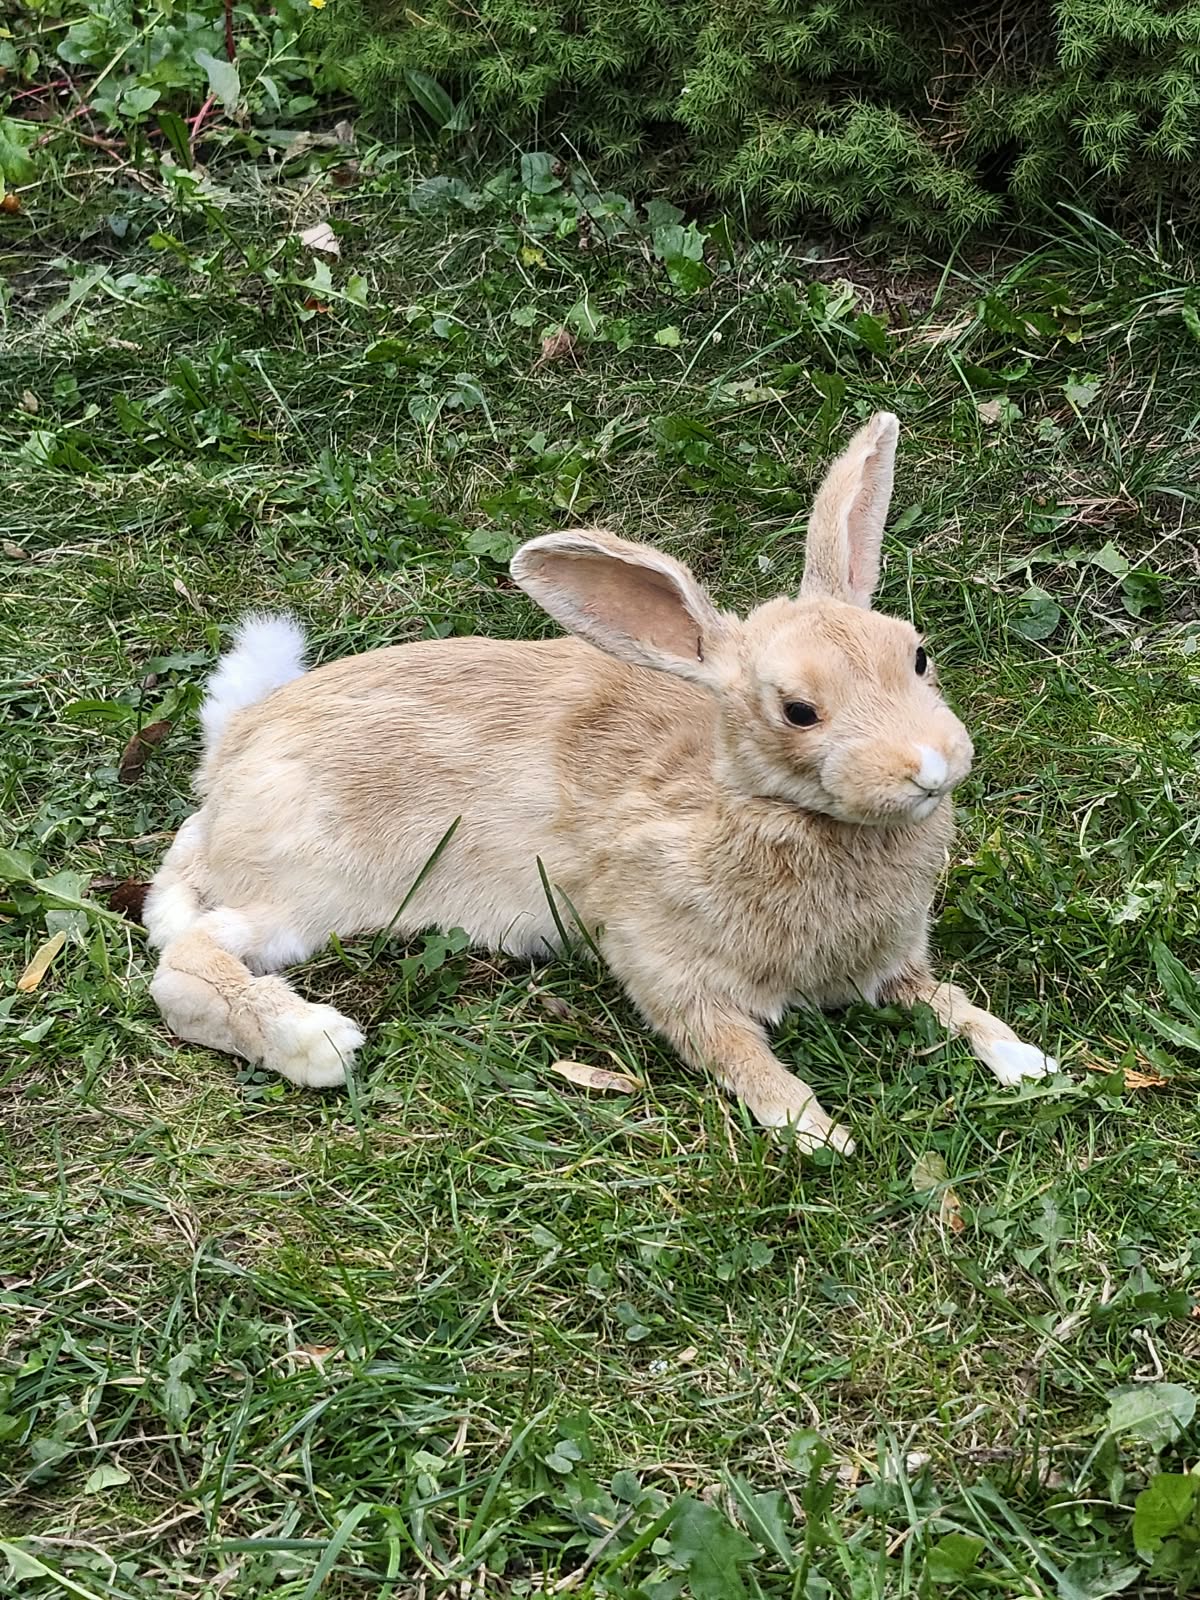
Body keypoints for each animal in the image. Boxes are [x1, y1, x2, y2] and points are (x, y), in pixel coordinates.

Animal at [144, 411, 1058, 1154]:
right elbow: (740, 1057)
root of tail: (231, 753)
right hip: (309, 890)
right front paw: (816, 1132)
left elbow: (950, 1002)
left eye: (917, 655)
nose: (931, 765)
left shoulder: (895, 967)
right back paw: (319, 1044)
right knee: (181, 965)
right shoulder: (672, 975)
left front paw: (1029, 1060)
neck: (748, 806)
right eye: (798, 711)